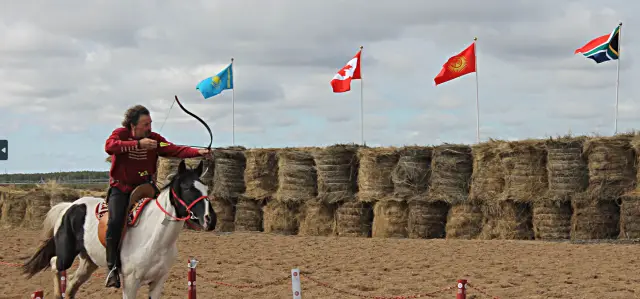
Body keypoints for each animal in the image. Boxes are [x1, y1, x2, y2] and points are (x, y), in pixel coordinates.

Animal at [20, 159, 216, 299]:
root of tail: (69, 206)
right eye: (188, 187)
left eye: (206, 188)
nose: (210, 219)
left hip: (88, 262)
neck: (154, 237)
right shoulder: (130, 282)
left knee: (71, 285)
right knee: (55, 264)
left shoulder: (158, 282)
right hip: (66, 255)